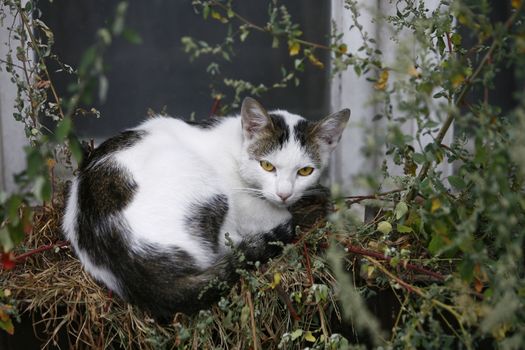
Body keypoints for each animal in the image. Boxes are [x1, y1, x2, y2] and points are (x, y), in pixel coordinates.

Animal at [60, 96, 348, 320]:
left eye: (305, 171)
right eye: (267, 166)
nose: (284, 194)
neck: (237, 146)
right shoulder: (250, 207)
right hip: (209, 190)